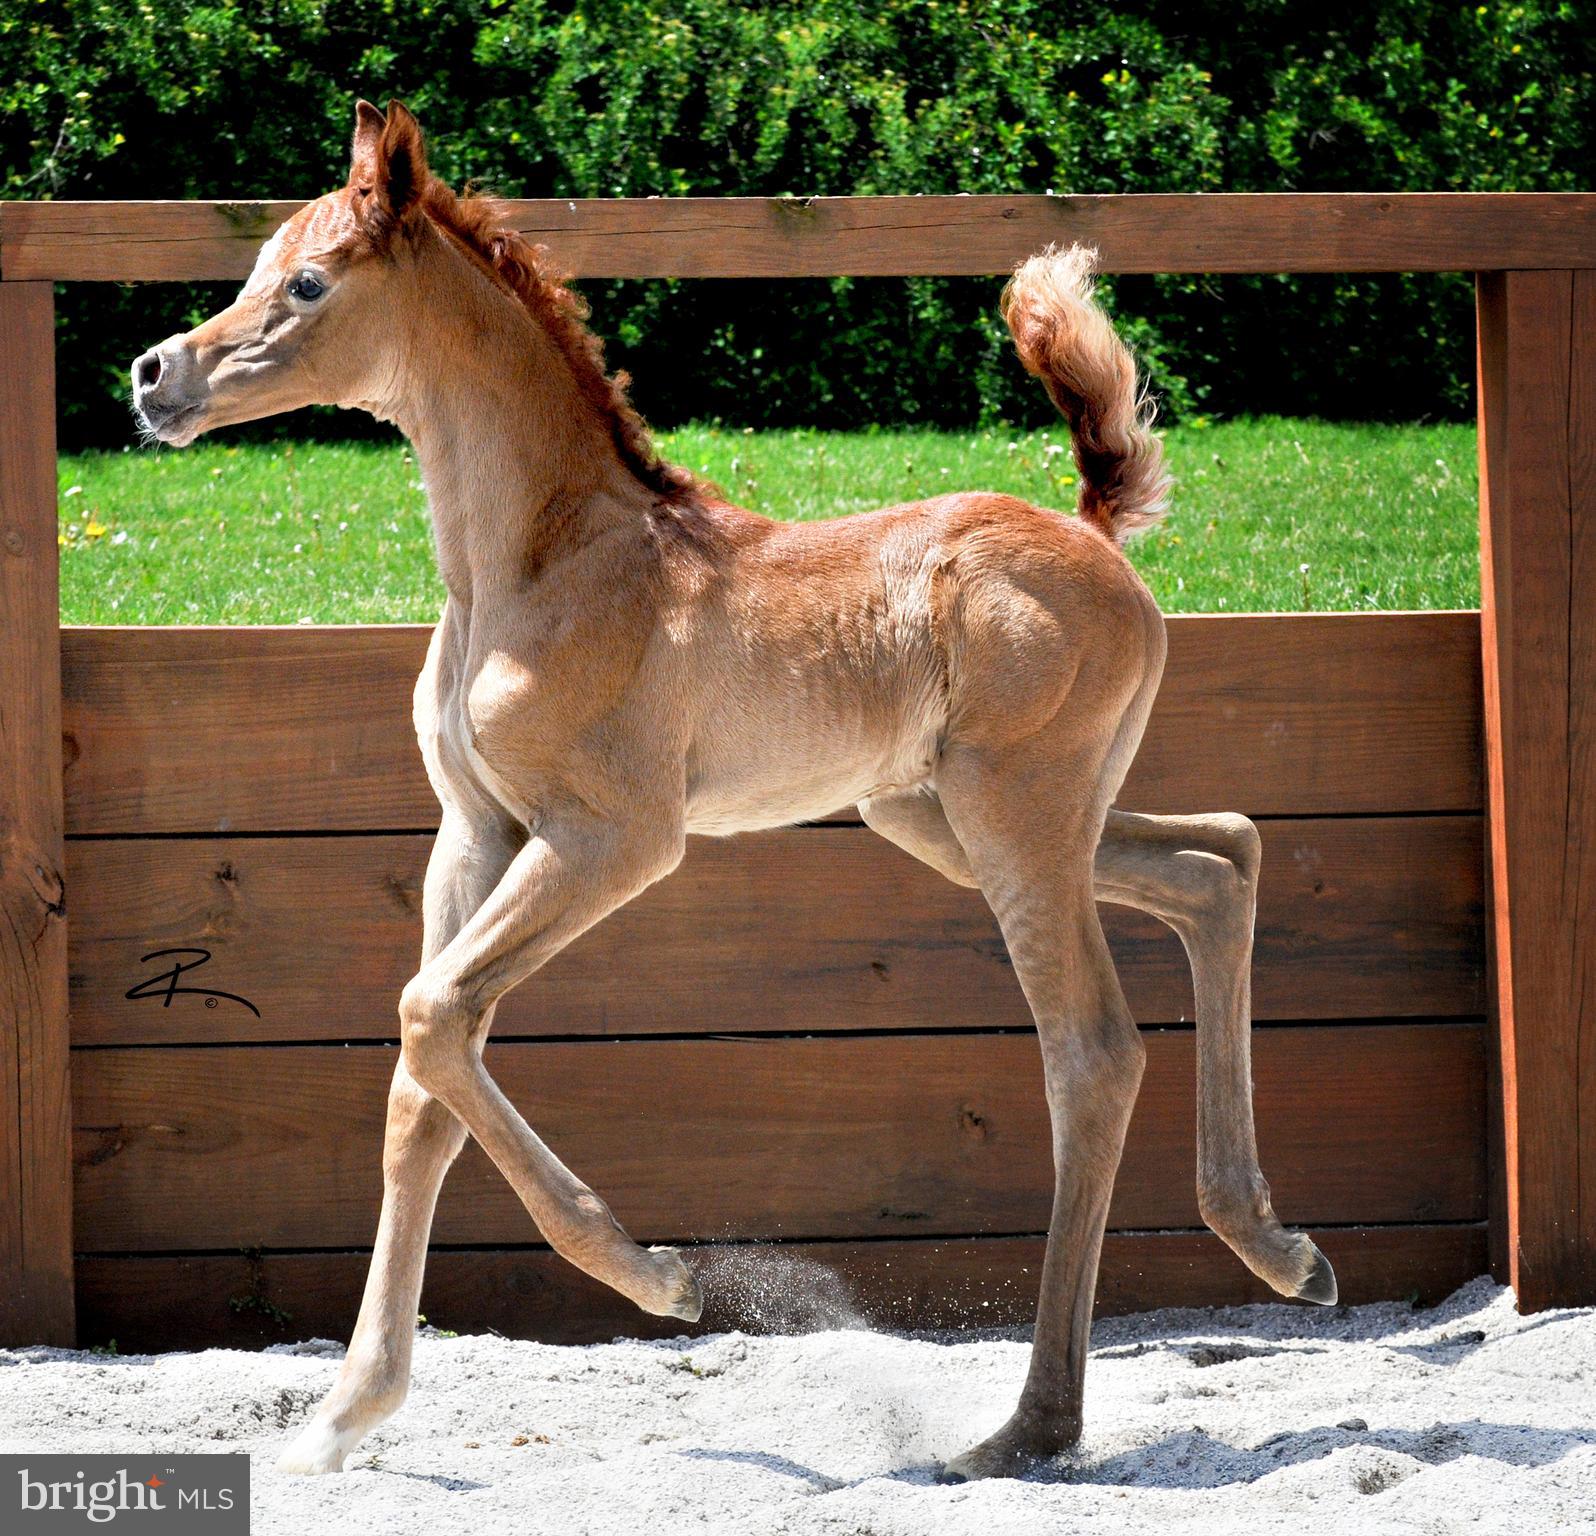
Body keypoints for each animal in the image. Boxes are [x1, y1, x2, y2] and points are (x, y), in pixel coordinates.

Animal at [130, 99, 1335, 1483]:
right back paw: (1279, 1251)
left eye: (308, 283)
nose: (153, 376)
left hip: (1014, 814)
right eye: (256, 265)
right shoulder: (474, 833)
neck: (540, 566)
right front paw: (341, 1418)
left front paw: (660, 1279)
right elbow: (423, 1077)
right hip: (945, 814)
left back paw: (1029, 1427)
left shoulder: (613, 836)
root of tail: (1092, 535)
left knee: (1092, 1052)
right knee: (1219, 859)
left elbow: (432, 1016)